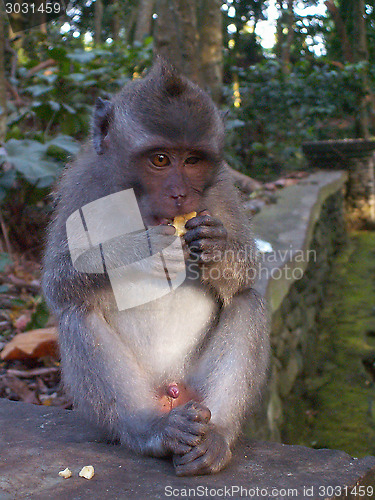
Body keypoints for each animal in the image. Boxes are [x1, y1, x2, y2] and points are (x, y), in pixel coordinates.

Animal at [41, 59, 270, 476]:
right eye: (160, 160)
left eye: (192, 160)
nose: (180, 194)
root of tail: (172, 392)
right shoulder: (84, 186)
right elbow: (58, 283)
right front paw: (140, 250)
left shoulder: (219, 189)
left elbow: (247, 272)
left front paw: (215, 247)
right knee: (78, 313)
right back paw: (153, 432)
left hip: (197, 388)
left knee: (247, 301)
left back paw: (216, 437)